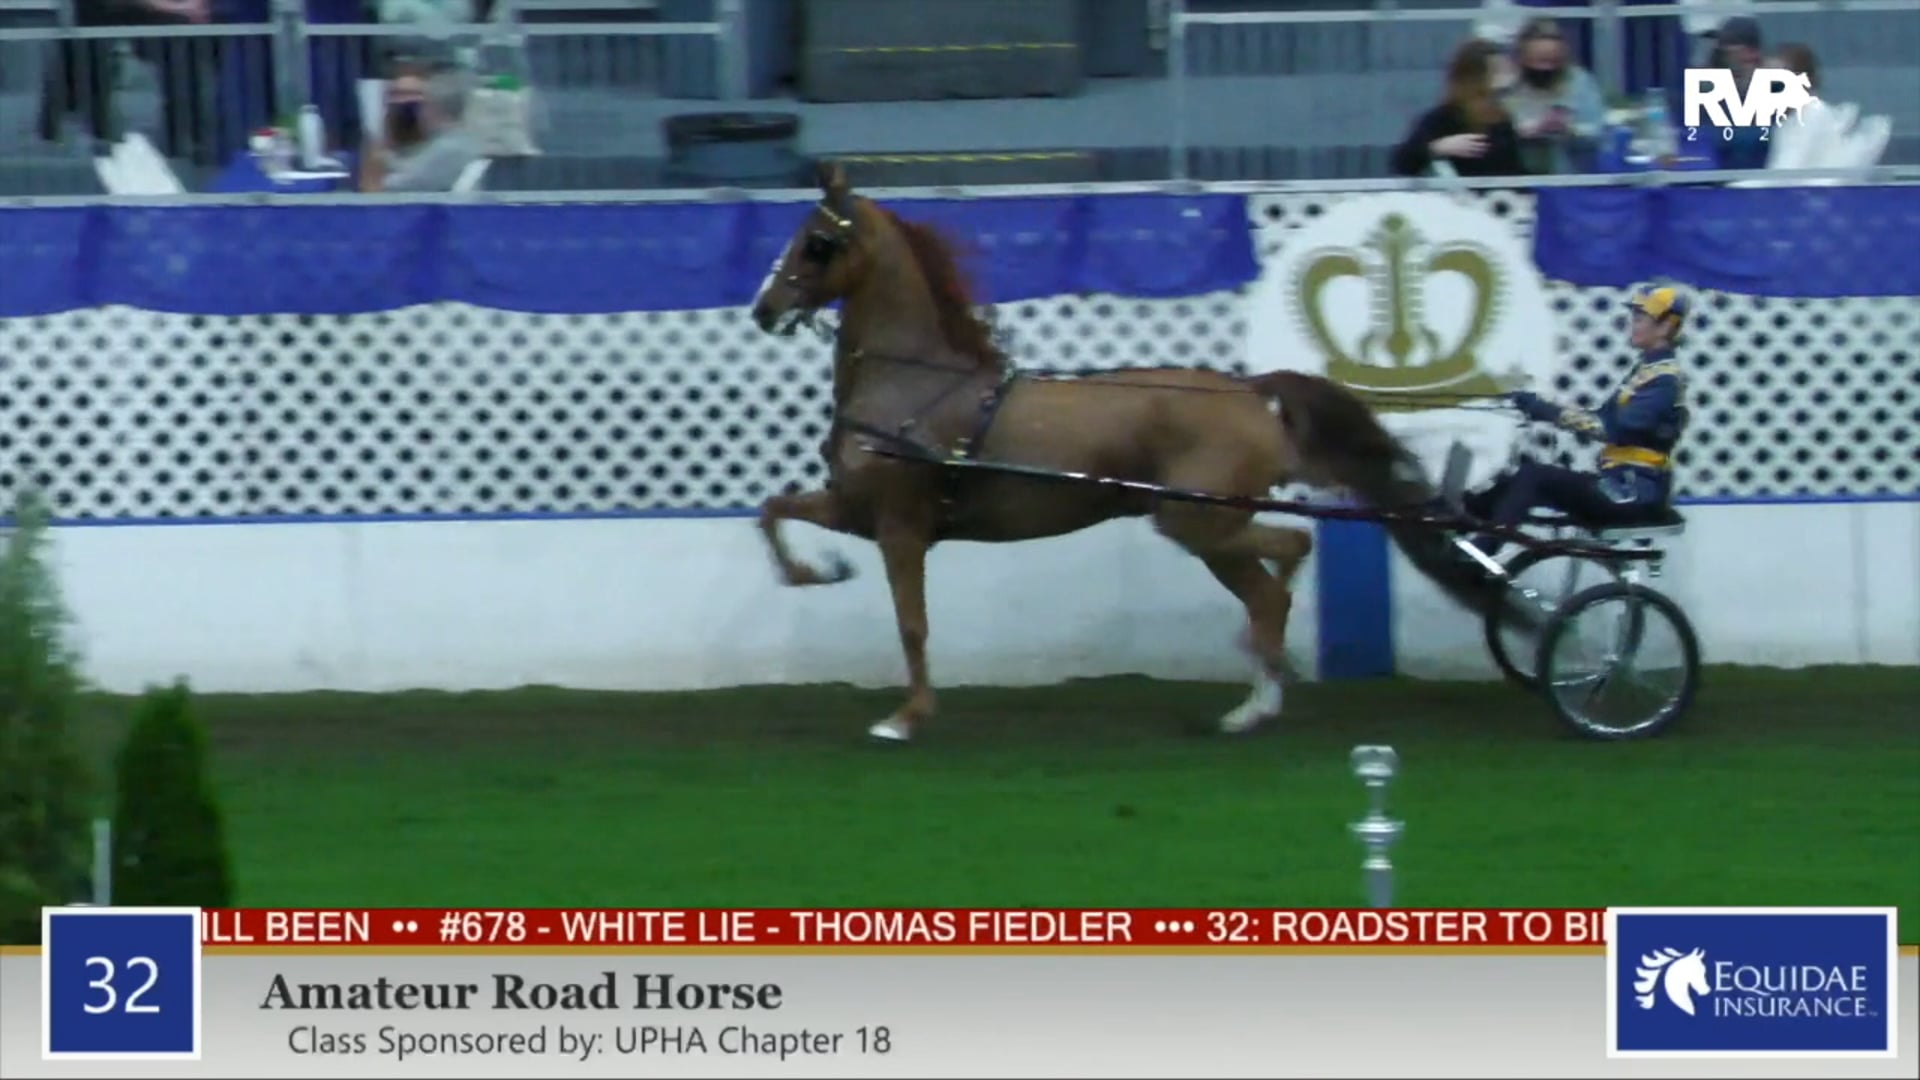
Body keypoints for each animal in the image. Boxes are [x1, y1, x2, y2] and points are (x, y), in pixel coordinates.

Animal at [747, 162, 1500, 742]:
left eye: (816, 243)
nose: (763, 310)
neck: (918, 385)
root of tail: (1252, 391)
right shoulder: (855, 509)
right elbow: (773, 510)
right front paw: (817, 573)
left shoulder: (901, 526)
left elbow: (912, 624)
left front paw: (904, 719)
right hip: (1209, 525)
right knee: (1278, 571)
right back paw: (1257, 696)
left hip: (1196, 520)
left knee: (1283, 562)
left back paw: (1262, 681)